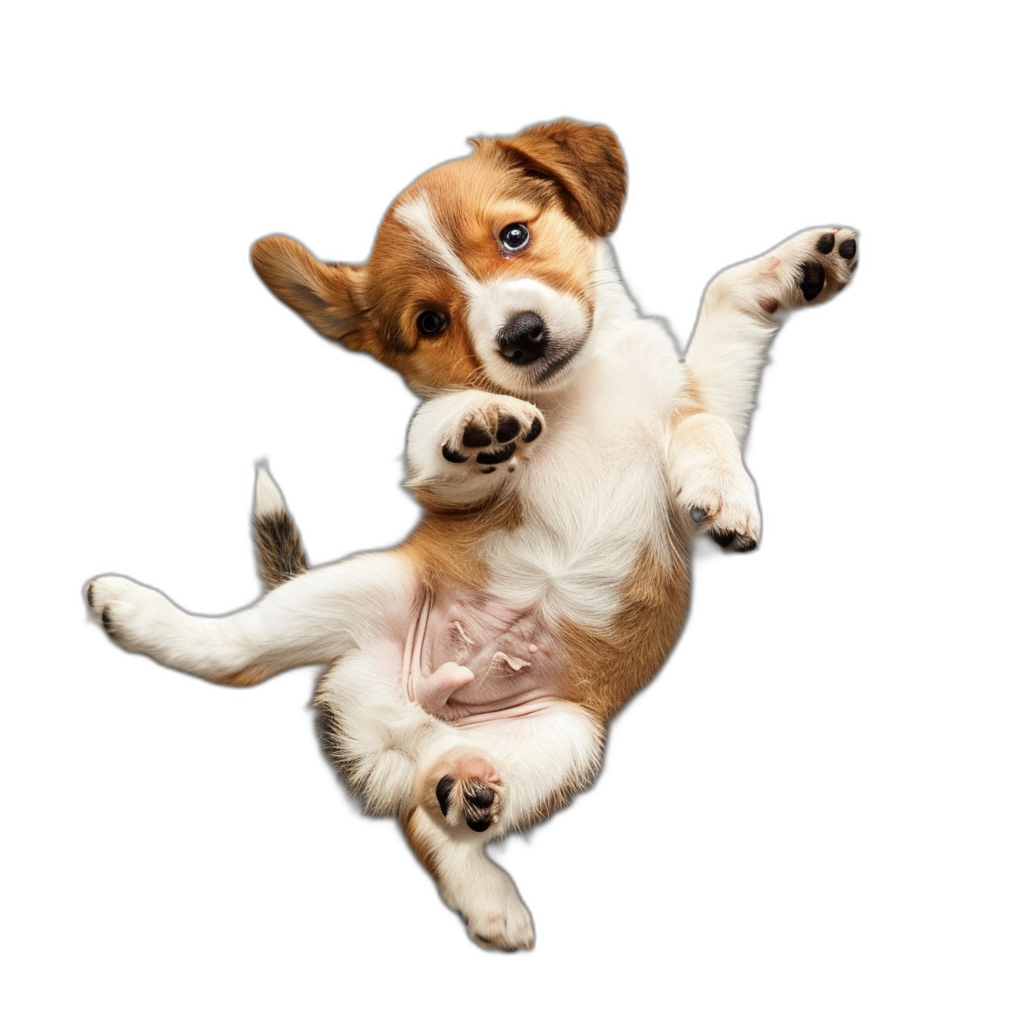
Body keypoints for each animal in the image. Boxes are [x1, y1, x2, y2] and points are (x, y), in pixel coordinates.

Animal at [83, 117, 860, 950]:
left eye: (515, 236)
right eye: (431, 321)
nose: (519, 336)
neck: (576, 389)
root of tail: (408, 717)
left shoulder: (695, 398)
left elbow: (713, 375)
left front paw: (795, 279)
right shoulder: (444, 484)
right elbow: (434, 433)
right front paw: (477, 420)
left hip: (562, 741)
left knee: (432, 816)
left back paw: (475, 844)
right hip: (358, 591)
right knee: (235, 656)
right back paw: (133, 611)